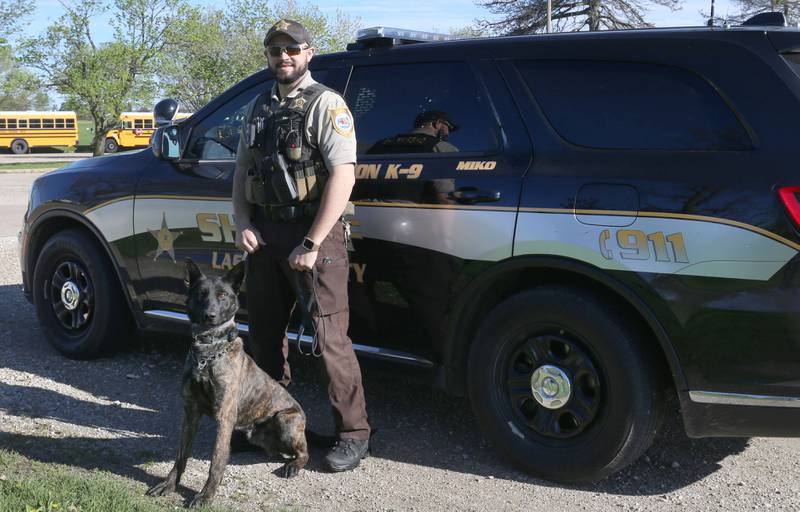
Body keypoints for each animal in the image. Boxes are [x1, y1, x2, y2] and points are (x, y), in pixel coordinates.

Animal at [147, 260, 310, 508]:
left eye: (223, 295)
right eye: (201, 294)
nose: (209, 315)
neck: (207, 354)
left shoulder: (224, 418)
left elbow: (217, 460)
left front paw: (205, 495)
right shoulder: (190, 411)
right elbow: (181, 455)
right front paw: (169, 484)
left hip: (285, 420)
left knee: (304, 453)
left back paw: (293, 465)